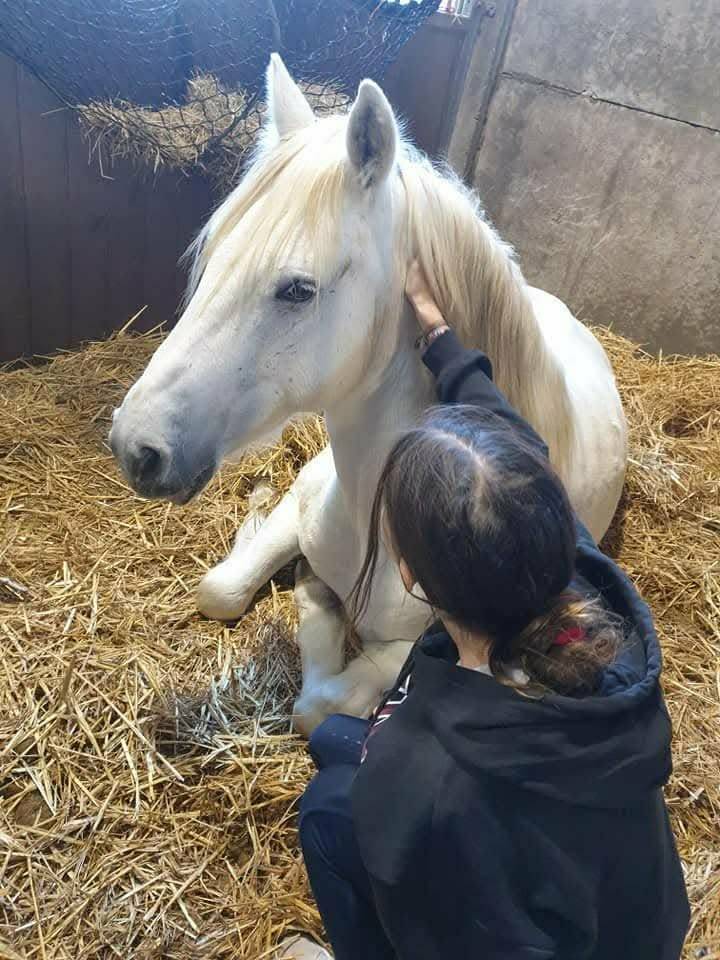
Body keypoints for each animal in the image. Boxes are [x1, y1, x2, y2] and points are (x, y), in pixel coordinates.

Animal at [110, 55, 627, 734]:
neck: (370, 521)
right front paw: (291, 561)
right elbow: (220, 590)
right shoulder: (303, 502)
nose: (135, 446)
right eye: (214, 257)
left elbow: (315, 705)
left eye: (297, 289)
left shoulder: (413, 649)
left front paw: (314, 600)